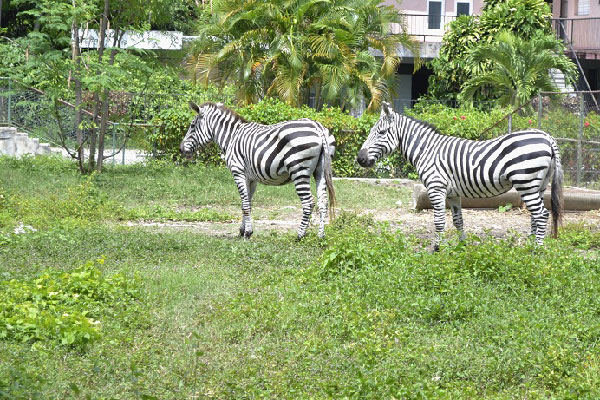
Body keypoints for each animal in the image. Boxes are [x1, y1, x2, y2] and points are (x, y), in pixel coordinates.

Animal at [178, 101, 338, 239]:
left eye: (192, 125)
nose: (180, 150)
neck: (231, 137)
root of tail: (317, 126)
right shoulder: (251, 178)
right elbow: (247, 203)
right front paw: (243, 230)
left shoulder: (238, 172)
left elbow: (245, 204)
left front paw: (247, 233)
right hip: (320, 171)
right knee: (323, 202)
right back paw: (320, 235)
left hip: (299, 170)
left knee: (308, 202)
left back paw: (300, 235)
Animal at [358, 101, 564, 248]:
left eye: (381, 132)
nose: (360, 159)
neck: (427, 150)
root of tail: (547, 136)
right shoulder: (453, 193)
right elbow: (458, 221)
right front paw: (462, 248)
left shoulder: (436, 188)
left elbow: (439, 221)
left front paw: (436, 250)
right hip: (538, 184)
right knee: (535, 216)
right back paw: (528, 247)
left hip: (525, 182)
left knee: (541, 215)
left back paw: (536, 251)